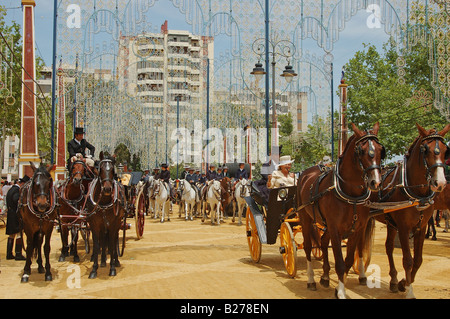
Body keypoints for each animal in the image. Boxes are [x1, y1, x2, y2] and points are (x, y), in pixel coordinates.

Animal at [298, 123, 384, 300]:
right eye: (361, 151)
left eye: (380, 149)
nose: (376, 182)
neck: (351, 195)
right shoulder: (335, 229)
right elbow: (340, 263)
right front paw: (341, 292)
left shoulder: (356, 229)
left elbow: (349, 260)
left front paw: (338, 288)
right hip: (305, 218)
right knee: (309, 248)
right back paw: (311, 280)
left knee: (323, 241)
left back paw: (324, 277)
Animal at [370, 123, 450, 300]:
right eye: (425, 149)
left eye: (444, 150)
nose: (440, 183)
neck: (417, 193)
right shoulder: (404, 227)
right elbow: (408, 260)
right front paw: (409, 289)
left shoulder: (421, 227)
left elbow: (418, 260)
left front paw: (402, 283)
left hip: (390, 223)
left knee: (388, 246)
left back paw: (393, 280)